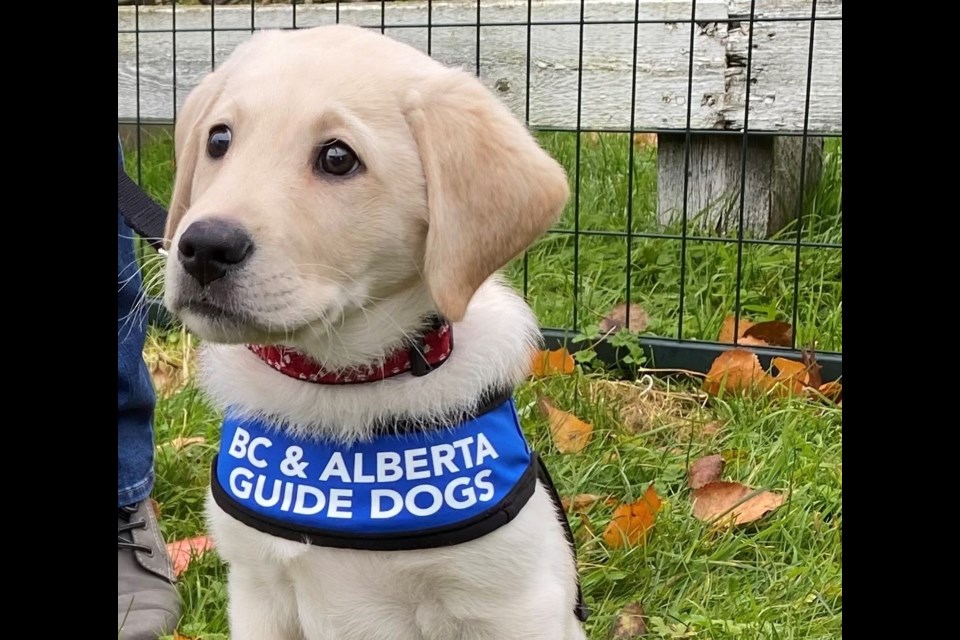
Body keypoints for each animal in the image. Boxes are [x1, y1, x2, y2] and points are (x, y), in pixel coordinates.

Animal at [164, 25, 584, 640]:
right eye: (219, 139)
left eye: (338, 157)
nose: (203, 247)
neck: (341, 385)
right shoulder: (257, 590)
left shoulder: (511, 603)